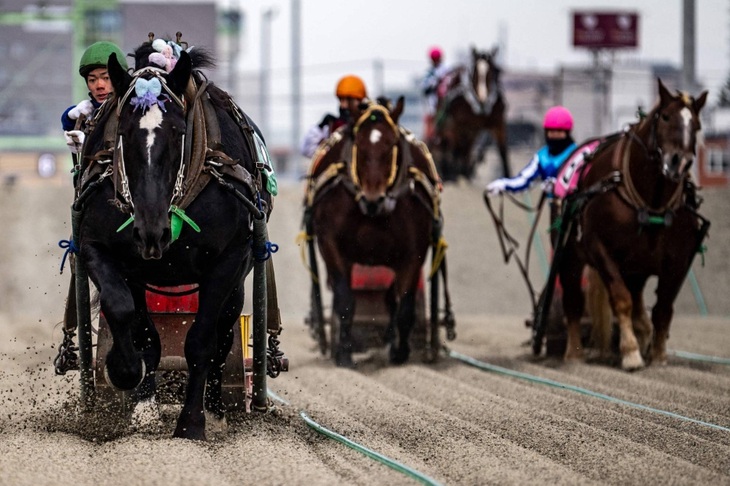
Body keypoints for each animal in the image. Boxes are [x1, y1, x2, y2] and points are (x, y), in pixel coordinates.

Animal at [74, 42, 270, 440]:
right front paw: (128, 379)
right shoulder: (101, 249)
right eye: (124, 131)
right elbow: (127, 316)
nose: (153, 232)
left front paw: (192, 421)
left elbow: (202, 341)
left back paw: (215, 408)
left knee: (224, 333)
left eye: (179, 131)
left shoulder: (229, 259)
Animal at [302, 98, 450, 364]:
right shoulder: (331, 243)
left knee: (392, 299)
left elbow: (405, 305)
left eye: (391, 145)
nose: (374, 198)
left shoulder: (414, 250)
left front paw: (400, 351)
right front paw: (343, 352)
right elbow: (345, 299)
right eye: (359, 146)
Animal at [430, 46, 510, 182]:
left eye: (493, 71)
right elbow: (456, 149)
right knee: (447, 144)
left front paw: (508, 176)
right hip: (445, 121)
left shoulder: (498, 123)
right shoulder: (458, 124)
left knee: (466, 147)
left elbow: (502, 150)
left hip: (471, 130)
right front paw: (455, 174)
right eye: (475, 73)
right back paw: (449, 171)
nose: (483, 99)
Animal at [556, 79, 704, 368]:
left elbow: (663, 307)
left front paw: (657, 355)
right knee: (573, 299)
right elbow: (621, 299)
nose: (679, 161)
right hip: (571, 255)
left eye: (697, 124)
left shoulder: (679, 257)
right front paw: (631, 353)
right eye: (665, 116)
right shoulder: (600, 247)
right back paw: (573, 354)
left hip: (637, 263)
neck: (651, 200)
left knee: (638, 298)